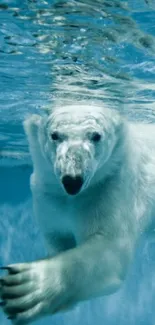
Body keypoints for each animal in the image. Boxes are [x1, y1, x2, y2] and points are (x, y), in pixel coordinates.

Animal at [0, 105, 155, 322]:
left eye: (96, 136)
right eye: (55, 135)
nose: (72, 180)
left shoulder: (110, 188)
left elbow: (110, 250)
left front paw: (28, 287)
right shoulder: (47, 198)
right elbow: (59, 236)